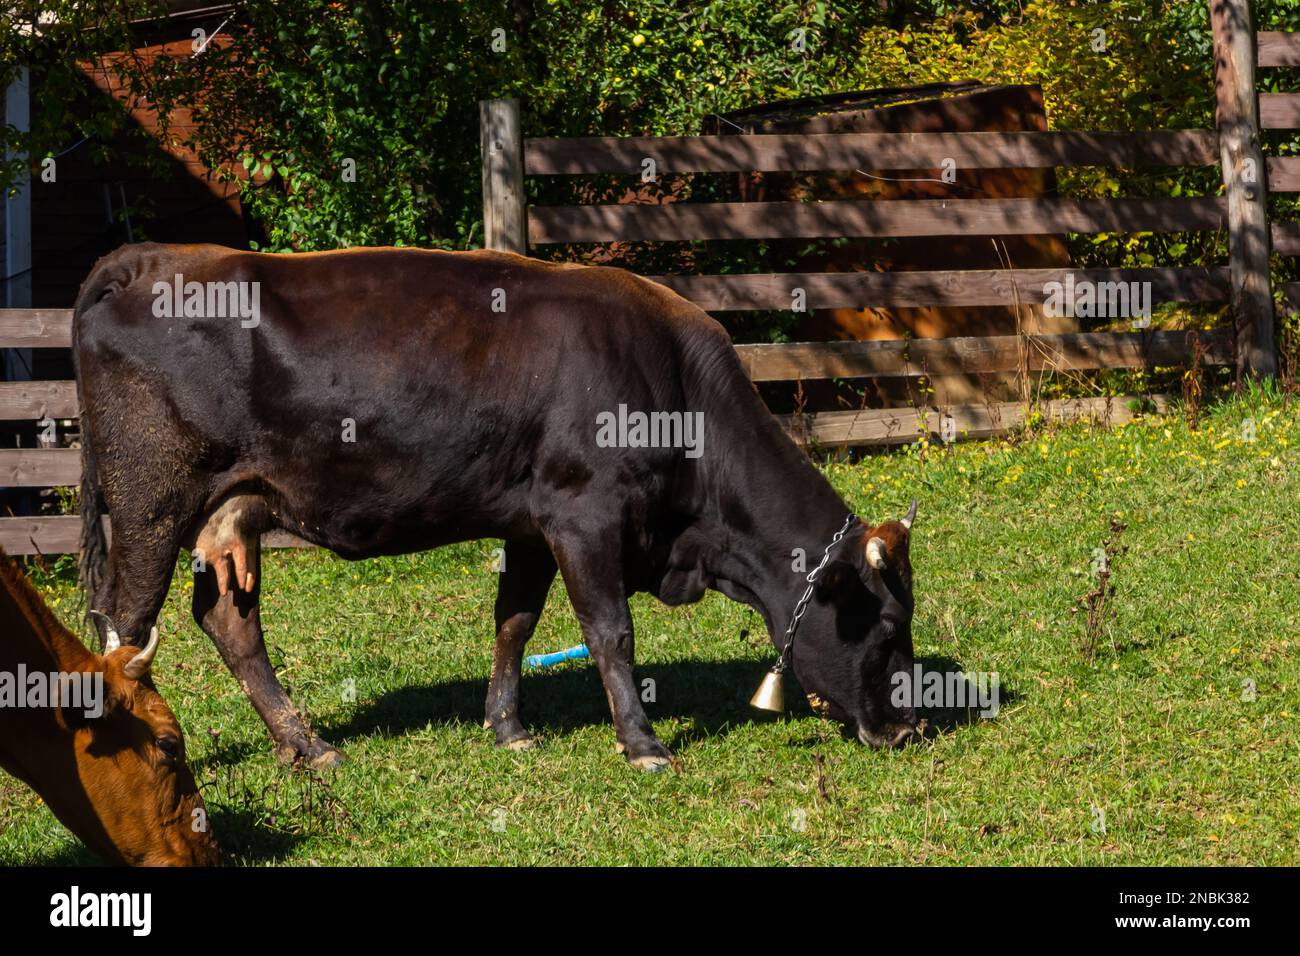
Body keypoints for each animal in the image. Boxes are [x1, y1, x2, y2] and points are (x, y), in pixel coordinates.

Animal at [72, 242, 922, 772]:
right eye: (884, 625)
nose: (908, 727)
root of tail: (147, 259)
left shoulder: (532, 524)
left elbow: (514, 621)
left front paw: (508, 728)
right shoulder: (585, 514)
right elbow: (610, 631)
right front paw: (642, 743)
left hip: (232, 508)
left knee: (228, 620)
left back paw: (306, 745)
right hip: (151, 501)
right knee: (127, 624)